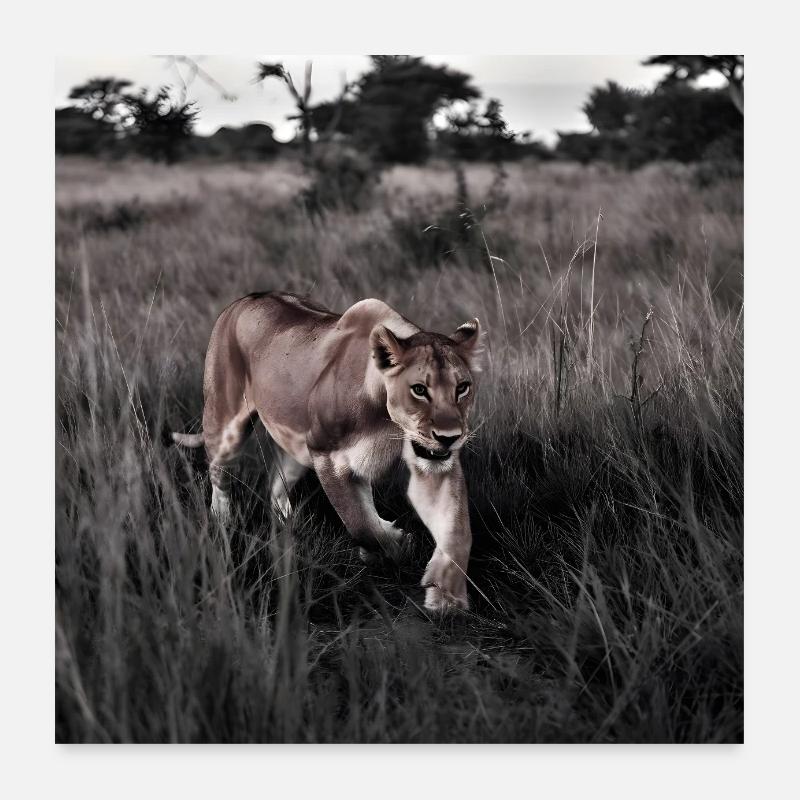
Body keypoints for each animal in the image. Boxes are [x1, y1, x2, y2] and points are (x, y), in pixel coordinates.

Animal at [172, 291, 483, 612]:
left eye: (462, 387)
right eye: (419, 389)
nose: (449, 438)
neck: (388, 419)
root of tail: (244, 299)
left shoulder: (432, 461)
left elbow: (457, 528)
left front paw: (446, 594)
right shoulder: (328, 456)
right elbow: (360, 522)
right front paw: (395, 543)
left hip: (297, 446)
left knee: (276, 483)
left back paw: (287, 523)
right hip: (225, 421)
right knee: (218, 471)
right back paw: (222, 519)